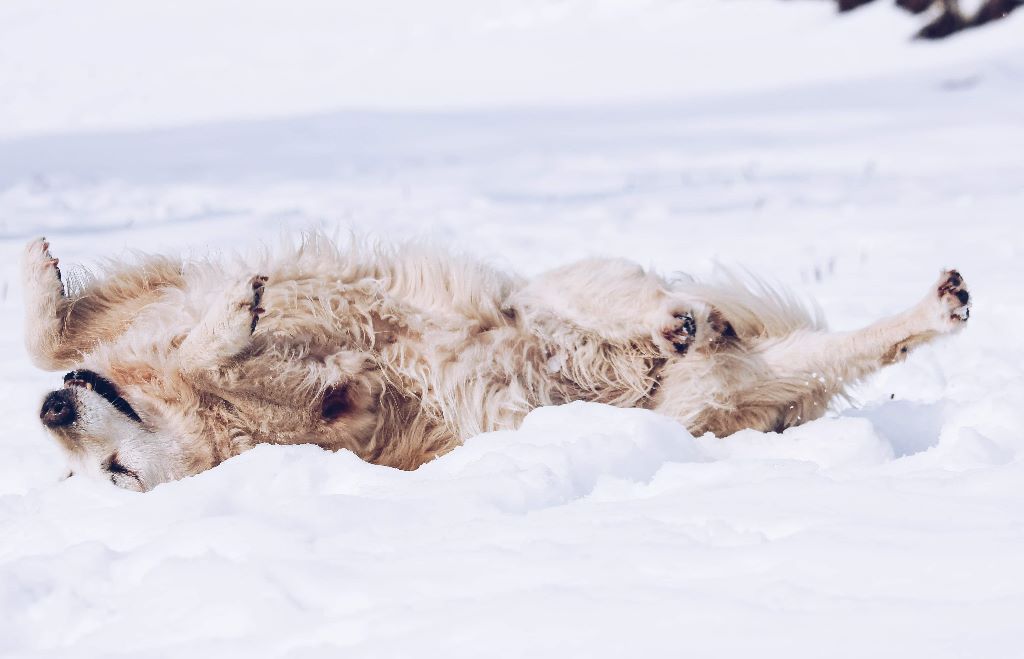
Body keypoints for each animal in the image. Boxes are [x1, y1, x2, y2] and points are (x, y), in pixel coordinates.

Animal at [22, 235, 966, 489]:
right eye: (112, 476)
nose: (50, 412)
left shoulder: (164, 297)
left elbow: (49, 336)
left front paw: (36, 276)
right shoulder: (323, 407)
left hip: (572, 284)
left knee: (637, 306)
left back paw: (678, 321)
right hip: (710, 397)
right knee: (851, 351)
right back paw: (937, 308)